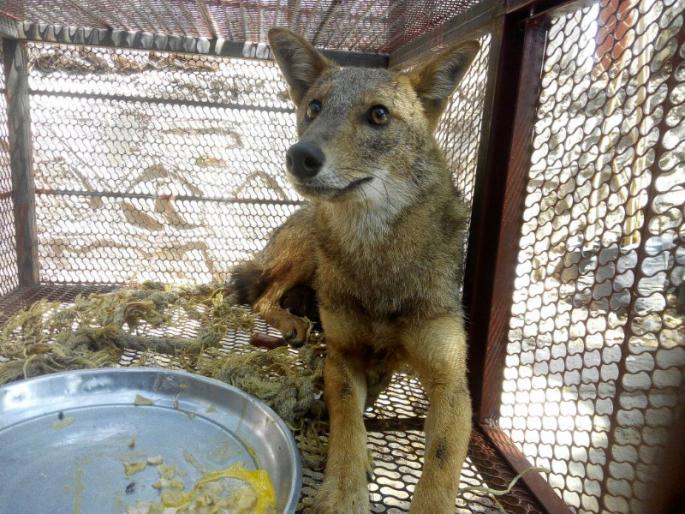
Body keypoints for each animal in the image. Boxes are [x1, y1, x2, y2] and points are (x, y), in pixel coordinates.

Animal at [231, 28, 479, 513]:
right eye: (314, 108)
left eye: (378, 115)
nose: (300, 156)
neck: (378, 259)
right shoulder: (342, 356)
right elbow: (347, 420)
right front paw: (345, 491)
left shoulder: (451, 381)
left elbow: (441, 461)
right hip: (309, 248)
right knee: (263, 295)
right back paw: (292, 320)